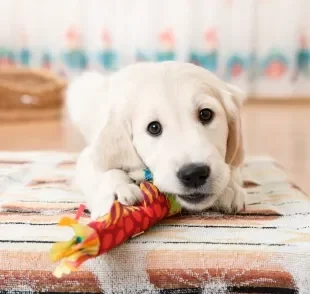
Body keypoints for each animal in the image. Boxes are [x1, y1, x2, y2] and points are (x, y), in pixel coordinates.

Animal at [66, 61, 246, 218]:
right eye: (154, 127)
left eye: (206, 114)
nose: (194, 173)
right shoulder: (89, 156)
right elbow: (107, 169)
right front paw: (118, 189)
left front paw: (229, 187)